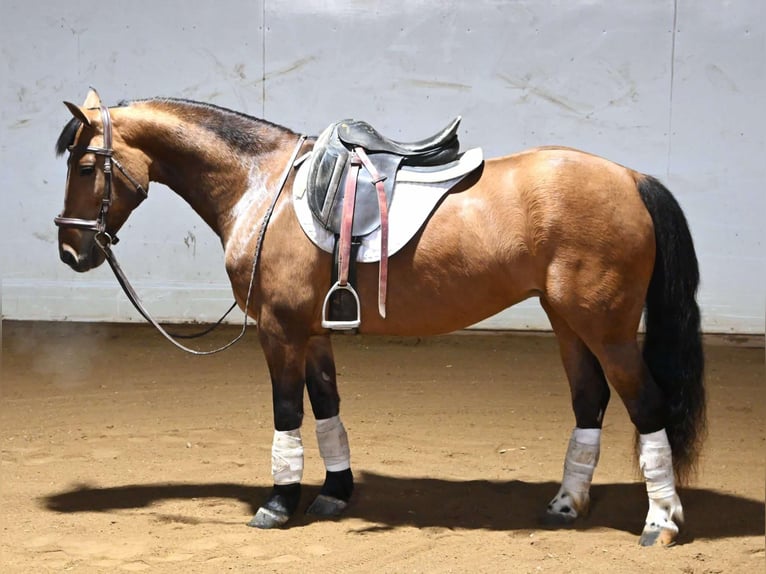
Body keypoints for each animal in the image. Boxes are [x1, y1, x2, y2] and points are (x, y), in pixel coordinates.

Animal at [52, 90, 708, 548]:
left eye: (84, 167)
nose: (71, 252)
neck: (259, 185)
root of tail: (631, 178)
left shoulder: (279, 330)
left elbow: (287, 412)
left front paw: (277, 504)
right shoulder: (313, 332)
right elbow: (326, 407)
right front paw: (335, 494)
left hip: (607, 328)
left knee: (646, 405)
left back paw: (660, 522)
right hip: (568, 322)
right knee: (589, 401)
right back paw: (568, 504)